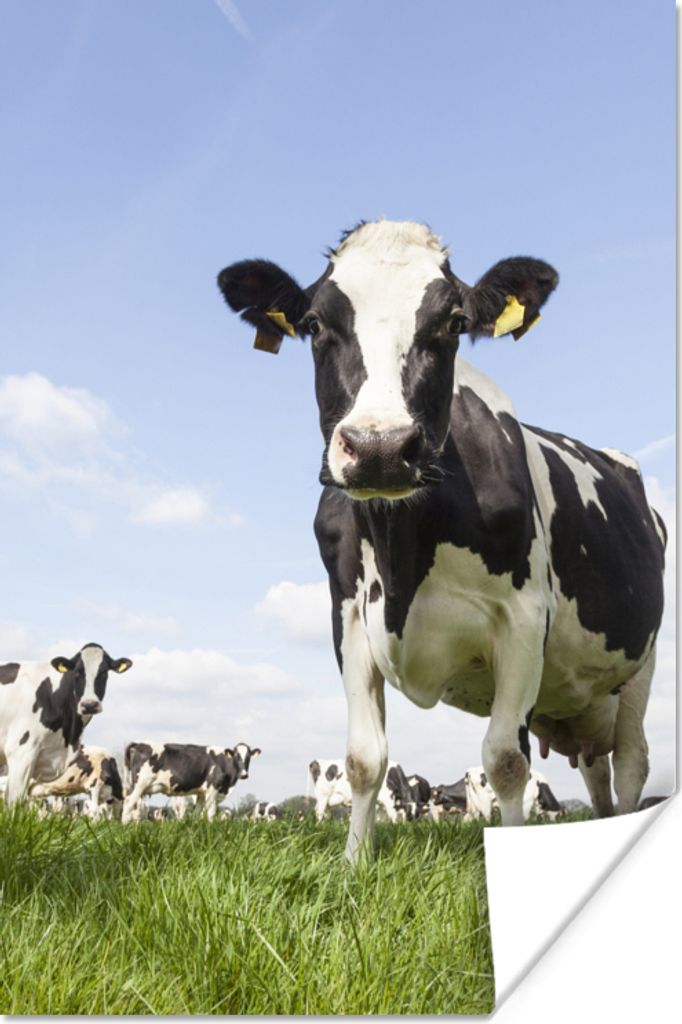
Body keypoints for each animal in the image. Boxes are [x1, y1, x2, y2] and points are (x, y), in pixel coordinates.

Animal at [122, 741, 261, 823]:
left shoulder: (201, 793)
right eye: (236, 756)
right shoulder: (212, 789)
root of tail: (138, 744)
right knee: (128, 803)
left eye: (248, 757)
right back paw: (125, 826)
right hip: (139, 784)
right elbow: (211, 813)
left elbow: (197, 813)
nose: (244, 774)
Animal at [217, 219, 666, 863]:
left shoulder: (524, 617)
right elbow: (364, 758)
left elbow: (506, 761)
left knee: (630, 763)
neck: (404, 551)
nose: (379, 447)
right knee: (596, 773)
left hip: (641, 665)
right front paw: (354, 864)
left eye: (453, 322)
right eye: (315, 324)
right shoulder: (348, 616)